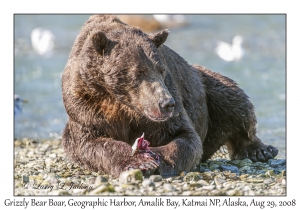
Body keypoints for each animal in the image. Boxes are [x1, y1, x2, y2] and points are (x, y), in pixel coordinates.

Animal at [61, 15, 278, 178]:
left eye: (161, 69)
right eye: (138, 72)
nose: (166, 103)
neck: (121, 102)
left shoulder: (170, 103)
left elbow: (185, 137)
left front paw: (156, 157)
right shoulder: (85, 105)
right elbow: (91, 142)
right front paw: (139, 161)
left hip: (205, 84)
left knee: (234, 101)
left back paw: (261, 151)